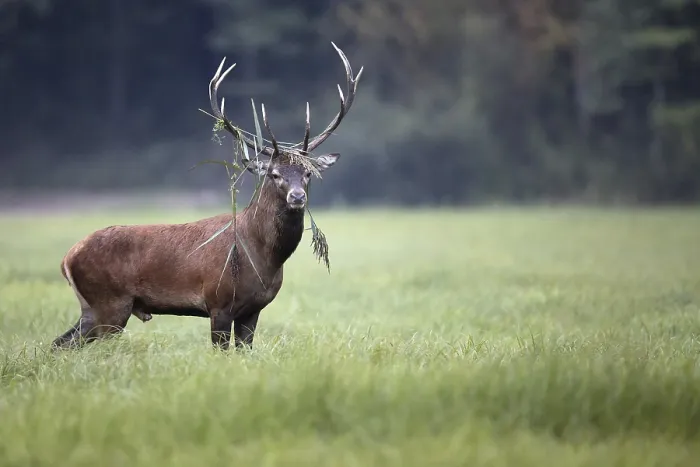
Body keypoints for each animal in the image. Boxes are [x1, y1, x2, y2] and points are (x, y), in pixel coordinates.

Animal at [51, 42, 362, 351]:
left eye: (308, 173)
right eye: (274, 174)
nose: (297, 197)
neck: (263, 257)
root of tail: (68, 257)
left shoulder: (253, 310)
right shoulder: (218, 302)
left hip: (94, 308)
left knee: (59, 343)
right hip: (109, 303)